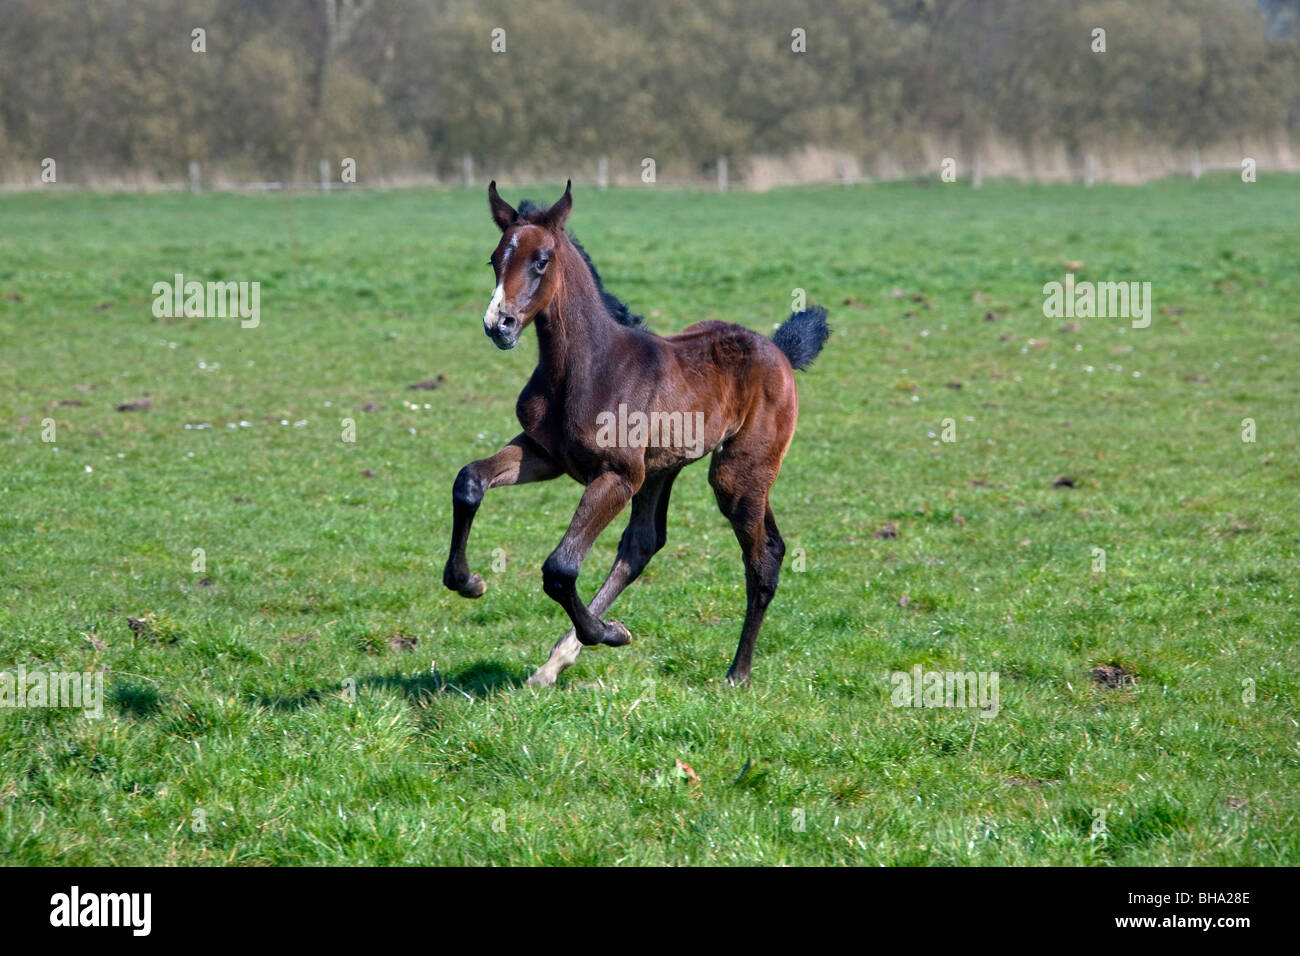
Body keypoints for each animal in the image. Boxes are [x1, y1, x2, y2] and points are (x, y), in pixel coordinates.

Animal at [444, 179, 832, 686]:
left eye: (541, 259)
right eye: (494, 259)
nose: (499, 325)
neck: (585, 368)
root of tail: (779, 350)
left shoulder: (618, 474)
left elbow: (560, 567)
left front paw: (609, 632)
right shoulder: (544, 454)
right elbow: (469, 481)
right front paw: (468, 582)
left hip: (738, 474)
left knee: (763, 557)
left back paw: (738, 672)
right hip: (663, 468)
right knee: (643, 544)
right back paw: (555, 662)